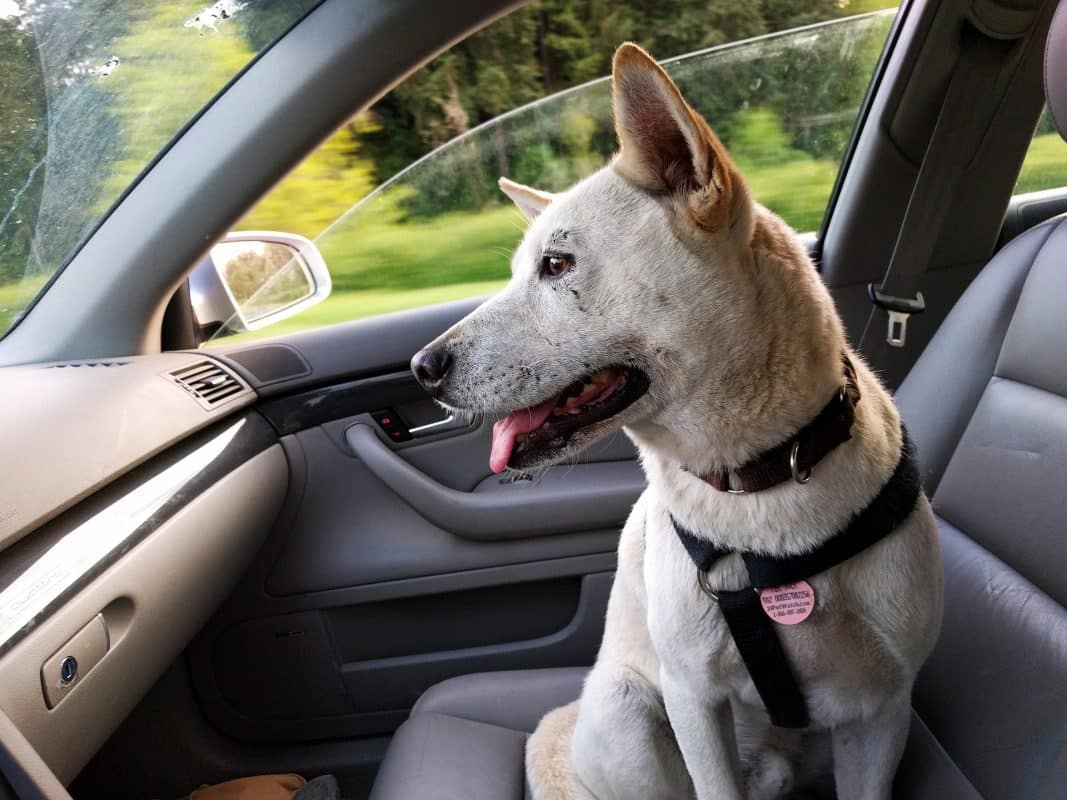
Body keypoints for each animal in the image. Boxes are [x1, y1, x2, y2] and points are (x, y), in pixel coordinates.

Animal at [407, 43, 943, 800]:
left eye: (556, 264)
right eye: (518, 270)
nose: (420, 367)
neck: (762, 486)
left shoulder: (882, 713)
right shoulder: (694, 698)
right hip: (628, 709)